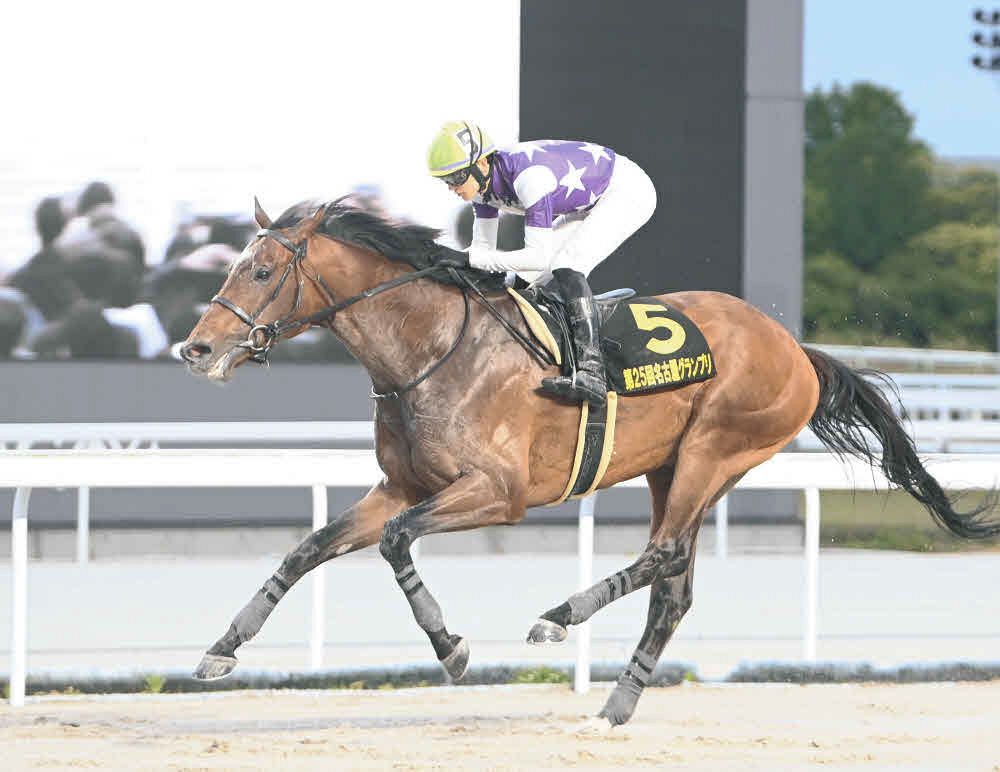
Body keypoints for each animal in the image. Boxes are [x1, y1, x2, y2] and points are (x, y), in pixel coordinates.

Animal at [180, 197, 1000, 726]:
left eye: (261, 273)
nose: (197, 347)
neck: (434, 348)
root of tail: (796, 347)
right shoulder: (403, 484)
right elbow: (309, 548)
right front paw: (220, 651)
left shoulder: (497, 492)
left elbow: (394, 541)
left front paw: (451, 647)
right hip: (676, 467)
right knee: (675, 585)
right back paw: (617, 704)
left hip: (716, 448)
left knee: (664, 554)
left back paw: (558, 618)